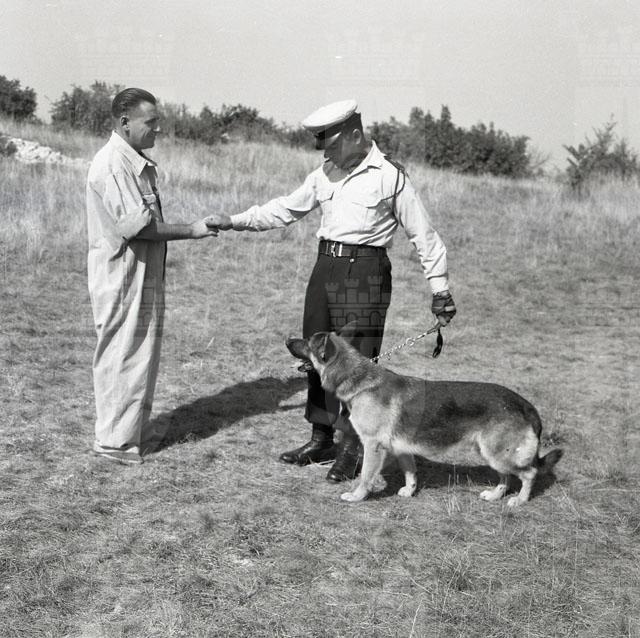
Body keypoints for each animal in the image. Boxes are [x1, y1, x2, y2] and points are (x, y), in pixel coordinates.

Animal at [286, 330, 562, 506]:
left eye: (307, 342)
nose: (286, 339)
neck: (359, 380)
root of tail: (526, 406)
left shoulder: (373, 447)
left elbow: (365, 475)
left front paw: (357, 496)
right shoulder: (402, 448)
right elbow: (410, 471)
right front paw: (409, 491)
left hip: (498, 453)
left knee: (529, 473)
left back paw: (519, 500)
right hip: (491, 453)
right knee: (506, 475)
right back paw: (495, 495)